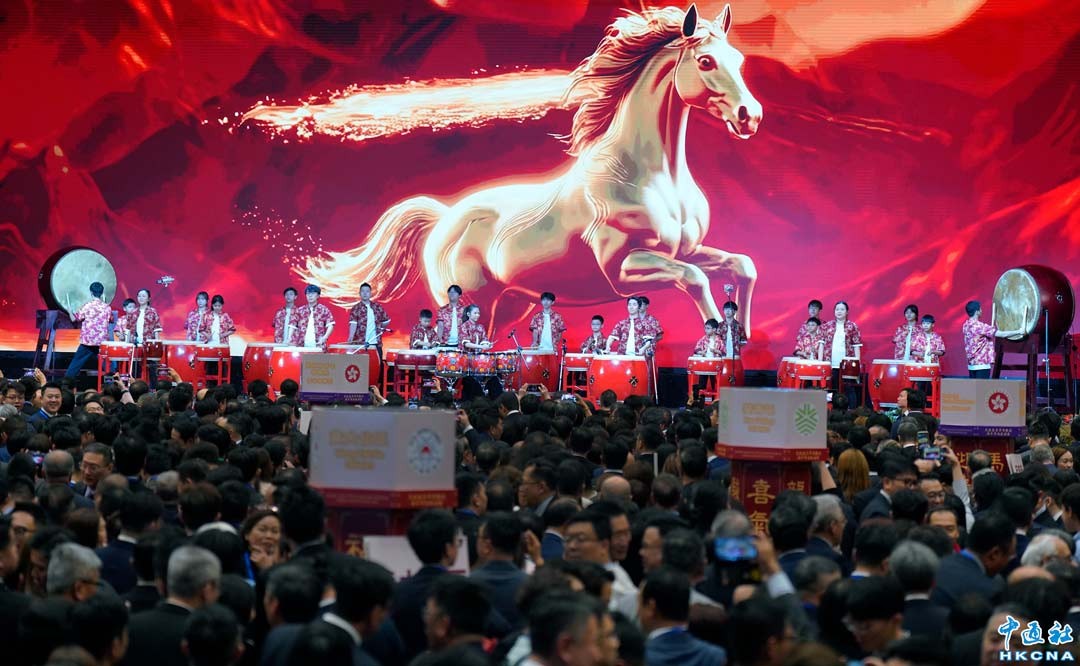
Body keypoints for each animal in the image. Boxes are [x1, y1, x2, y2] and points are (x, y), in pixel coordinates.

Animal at [299, 4, 762, 335]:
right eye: (705, 61)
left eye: (738, 58)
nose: (750, 117)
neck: (649, 177)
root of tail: (444, 217)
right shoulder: (624, 270)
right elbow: (695, 279)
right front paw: (718, 332)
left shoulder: (684, 251)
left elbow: (742, 265)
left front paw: (741, 333)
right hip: (469, 301)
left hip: (511, 306)